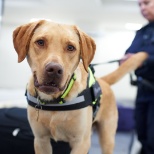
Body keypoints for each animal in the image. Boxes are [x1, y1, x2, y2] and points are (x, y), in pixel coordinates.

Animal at [12, 19, 147, 153]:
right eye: (40, 42)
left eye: (71, 47)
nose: (54, 70)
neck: (55, 101)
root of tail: (103, 81)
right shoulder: (41, 140)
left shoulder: (81, 142)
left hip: (107, 138)